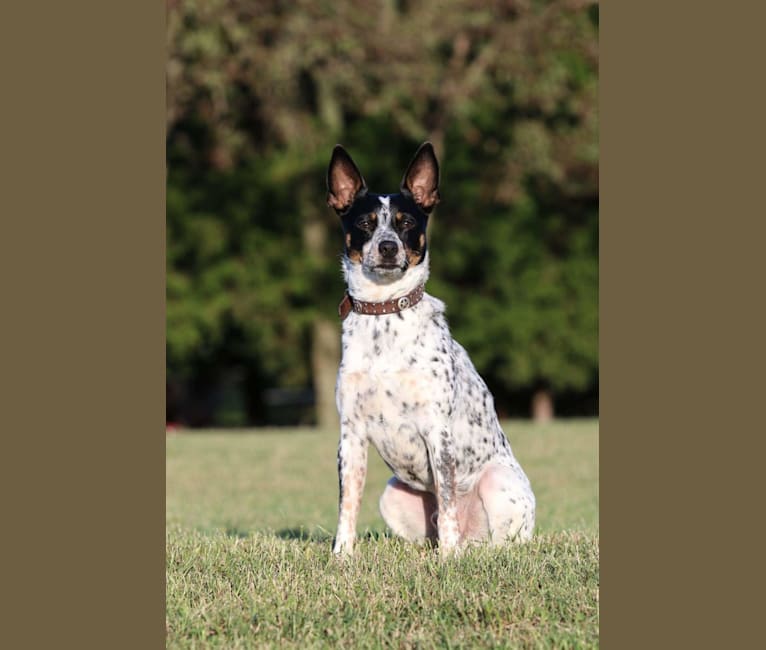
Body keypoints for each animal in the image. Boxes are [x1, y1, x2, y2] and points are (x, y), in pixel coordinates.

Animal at [328, 140, 536, 552]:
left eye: (407, 223)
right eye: (365, 223)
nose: (388, 247)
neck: (385, 316)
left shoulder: (437, 431)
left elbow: (449, 500)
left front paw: (448, 558)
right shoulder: (351, 435)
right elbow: (347, 504)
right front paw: (342, 556)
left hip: (498, 483)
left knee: (494, 539)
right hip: (392, 495)